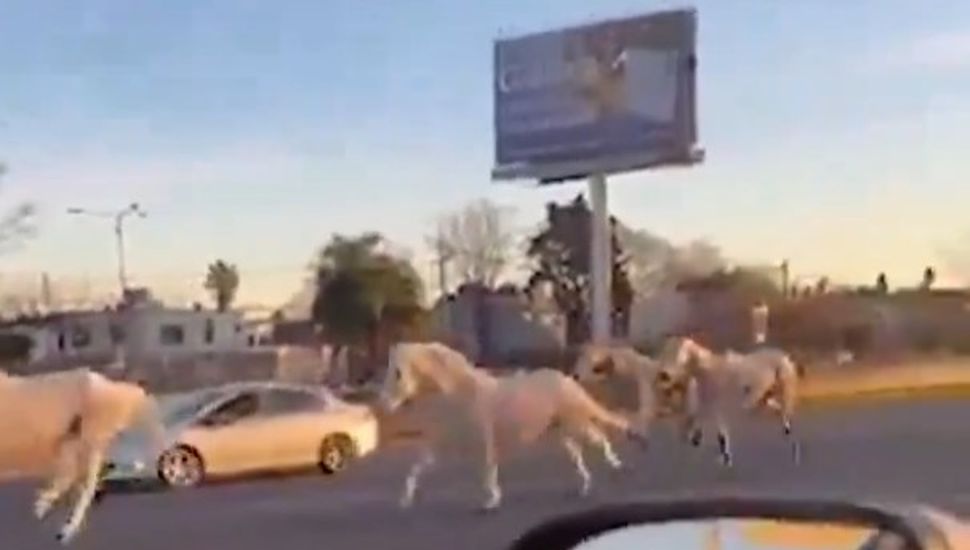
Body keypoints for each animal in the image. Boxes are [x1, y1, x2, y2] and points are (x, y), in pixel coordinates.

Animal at [376, 344, 644, 512]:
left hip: (575, 424)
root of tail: (568, 381)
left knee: (600, 439)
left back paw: (618, 468)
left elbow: (488, 469)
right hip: (561, 433)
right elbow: (417, 468)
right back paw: (585, 487)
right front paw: (404, 500)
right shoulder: (439, 444)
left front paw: (491, 501)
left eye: (398, 373)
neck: (456, 392)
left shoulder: (484, 440)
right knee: (577, 455)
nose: (383, 404)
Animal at [656, 336, 800, 470]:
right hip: (765, 398)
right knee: (780, 412)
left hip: (784, 392)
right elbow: (693, 425)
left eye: (680, 354)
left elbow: (720, 436)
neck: (707, 372)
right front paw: (697, 440)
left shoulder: (718, 409)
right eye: (665, 351)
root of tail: (783, 355)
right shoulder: (705, 406)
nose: (664, 375)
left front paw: (725, 459)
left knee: (786, 413)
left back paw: (791, 443)